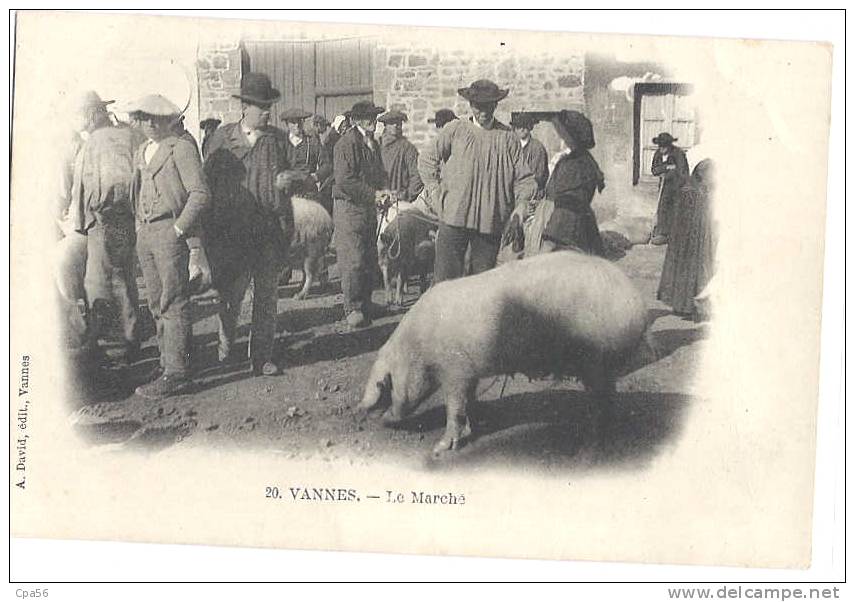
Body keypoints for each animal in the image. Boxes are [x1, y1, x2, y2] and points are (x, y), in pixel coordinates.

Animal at [360, 247, 648, 450]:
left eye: (386, 385)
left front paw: (440, 448)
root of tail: (636, 303)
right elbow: (468, 402)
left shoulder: (455, 370)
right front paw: (471, 429)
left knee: (604, 402)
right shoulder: (470, 373)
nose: (383, 420)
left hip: (596, 362)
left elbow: (454, 407)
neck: (419, 347)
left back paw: (590, 440)